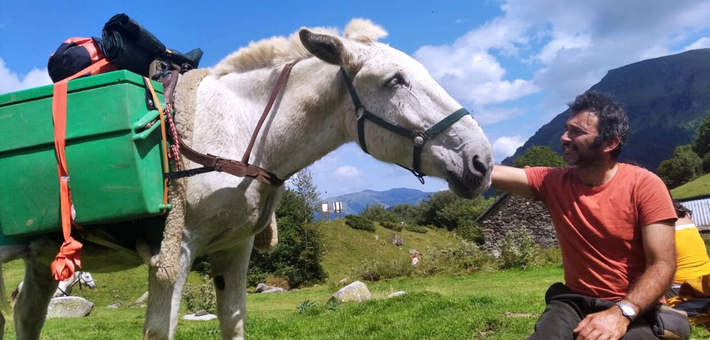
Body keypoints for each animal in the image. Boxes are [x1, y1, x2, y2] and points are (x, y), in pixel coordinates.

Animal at [6, 19, 496, 340]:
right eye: (395, 80)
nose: (481, 162)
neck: (238, 132)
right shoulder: (172, 255)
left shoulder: (233, 252)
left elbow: (234, 321)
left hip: (40, 258)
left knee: (26, 312)